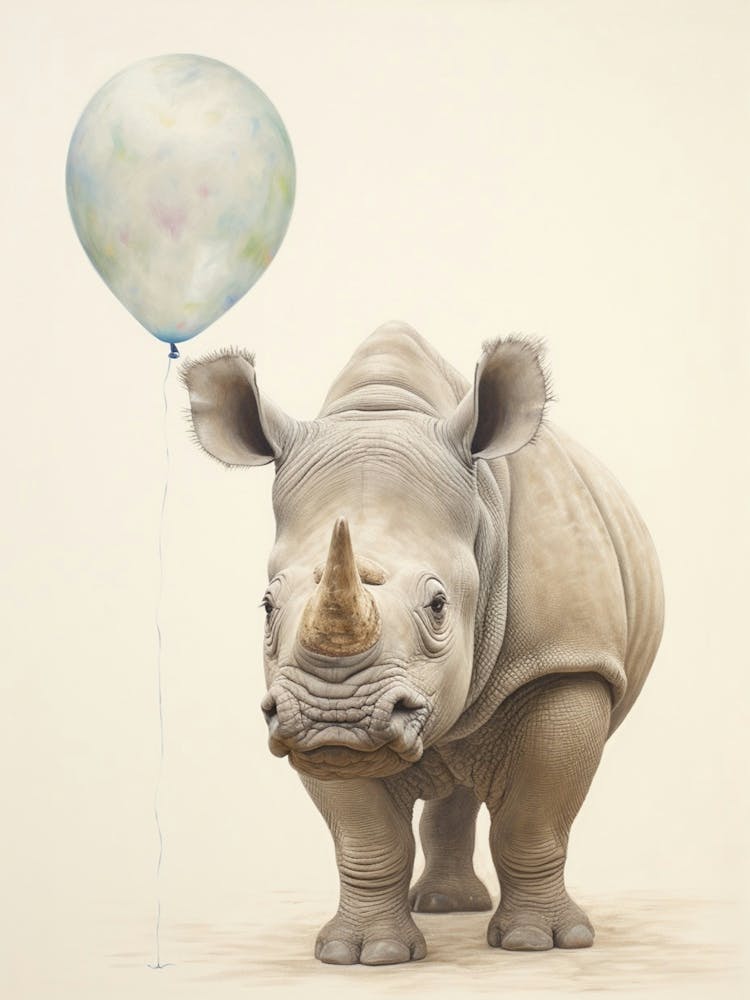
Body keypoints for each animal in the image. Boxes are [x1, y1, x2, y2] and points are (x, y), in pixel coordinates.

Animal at [182, 322, 664, 966]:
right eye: (266, 606)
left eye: (438, 606)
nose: (335, 716)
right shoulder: (306, 721)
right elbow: (366, 838)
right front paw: (364, 955)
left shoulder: (568, 661)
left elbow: (533, 819)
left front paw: (539, 944)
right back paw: (443, 907)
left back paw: (458, 910)